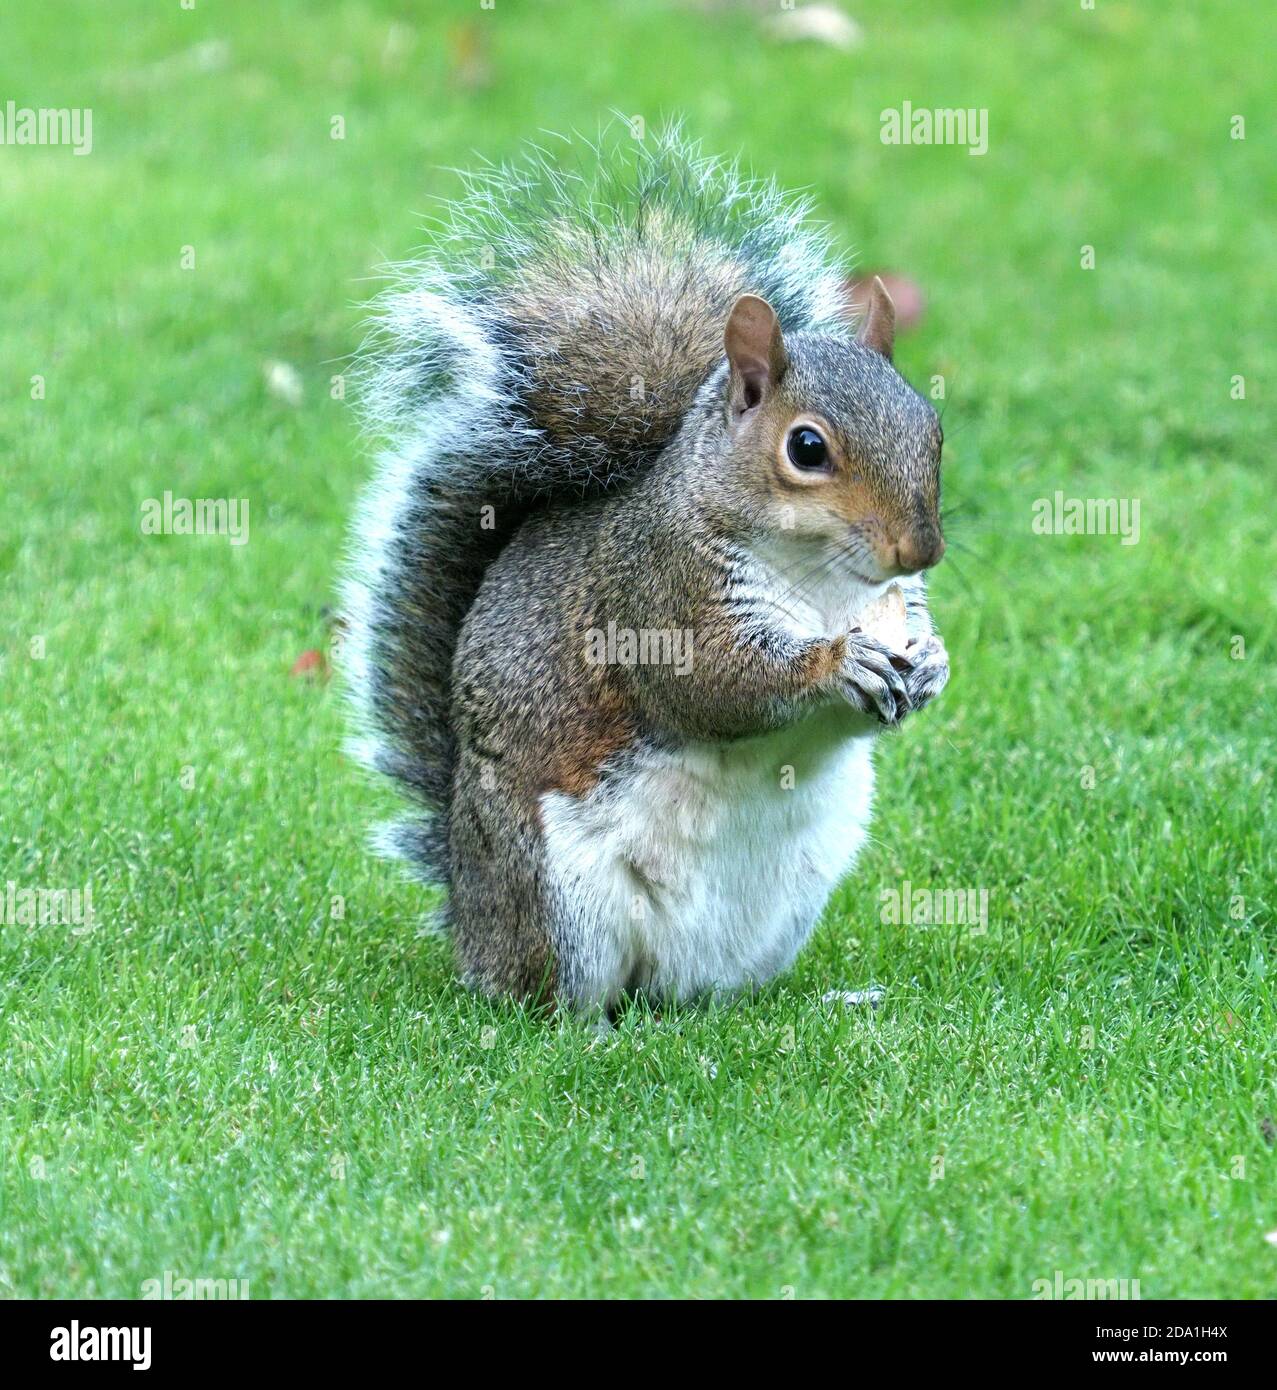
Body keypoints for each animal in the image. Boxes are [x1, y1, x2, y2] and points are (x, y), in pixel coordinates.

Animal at [343, 127, 950, 1016]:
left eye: (930, 425)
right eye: (807, 448)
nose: (919, 552)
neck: (822, 576)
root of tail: (468, 914)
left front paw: (931, 662)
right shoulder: (657, 595)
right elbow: (714, 687)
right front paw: (836, 663)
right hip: (556, 894)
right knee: (554, 996)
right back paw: (588, 1022)